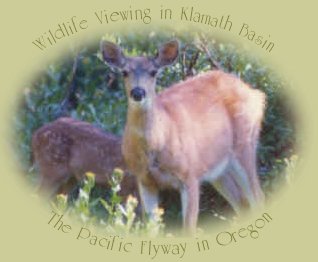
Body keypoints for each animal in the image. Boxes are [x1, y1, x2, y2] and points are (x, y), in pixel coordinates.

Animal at [100, 39, 264, 233]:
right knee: (243, 202)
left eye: (153, 72)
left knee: (258, 196)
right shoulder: (144, 179)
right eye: (124, 72)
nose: (138, 92)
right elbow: (151, 228)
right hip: (219, 169)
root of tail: (257, 94)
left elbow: (188, 229)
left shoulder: (190, 175)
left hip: (245, 143)